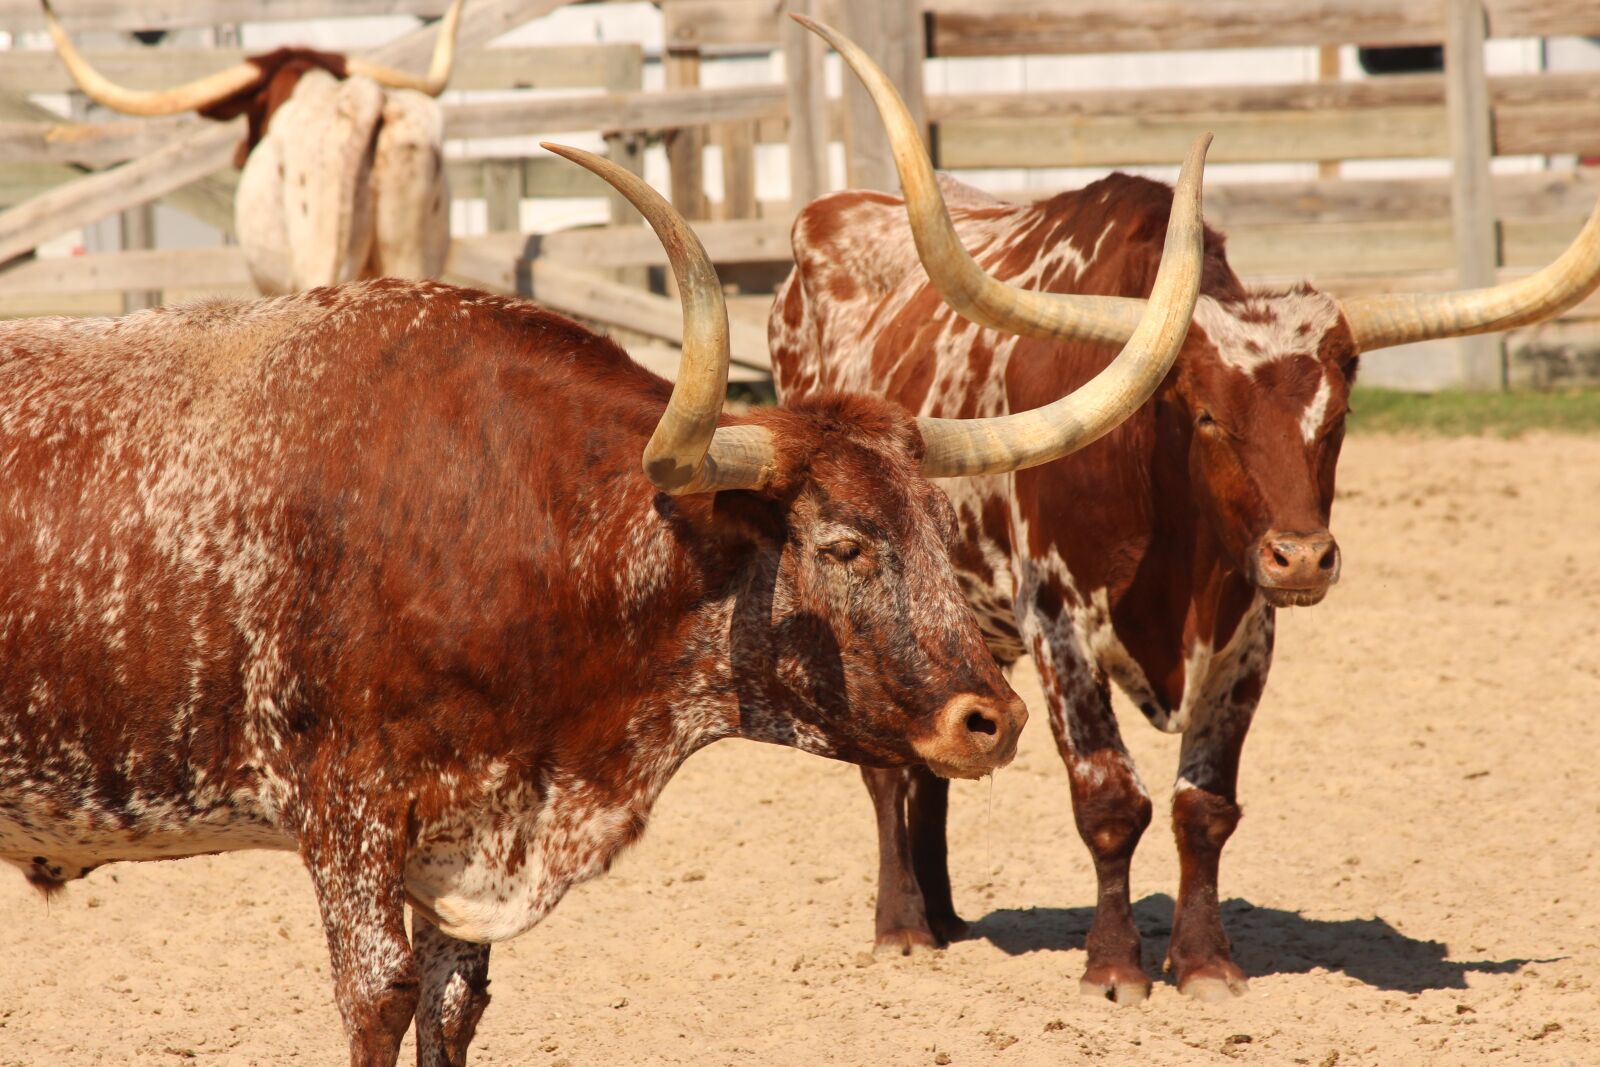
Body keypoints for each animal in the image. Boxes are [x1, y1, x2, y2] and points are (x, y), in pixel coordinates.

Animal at [774, 18, 1600, 1011]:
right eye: (1206, 413)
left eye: (1339, 413)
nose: (1301, 557)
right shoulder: (1057, 624)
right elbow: (1109, 797)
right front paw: (1114, 967)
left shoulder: (1247, 633)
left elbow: (1203, 807)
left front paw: (1205, 964)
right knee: (885, 764)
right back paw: (902, 925)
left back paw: (945, 917)